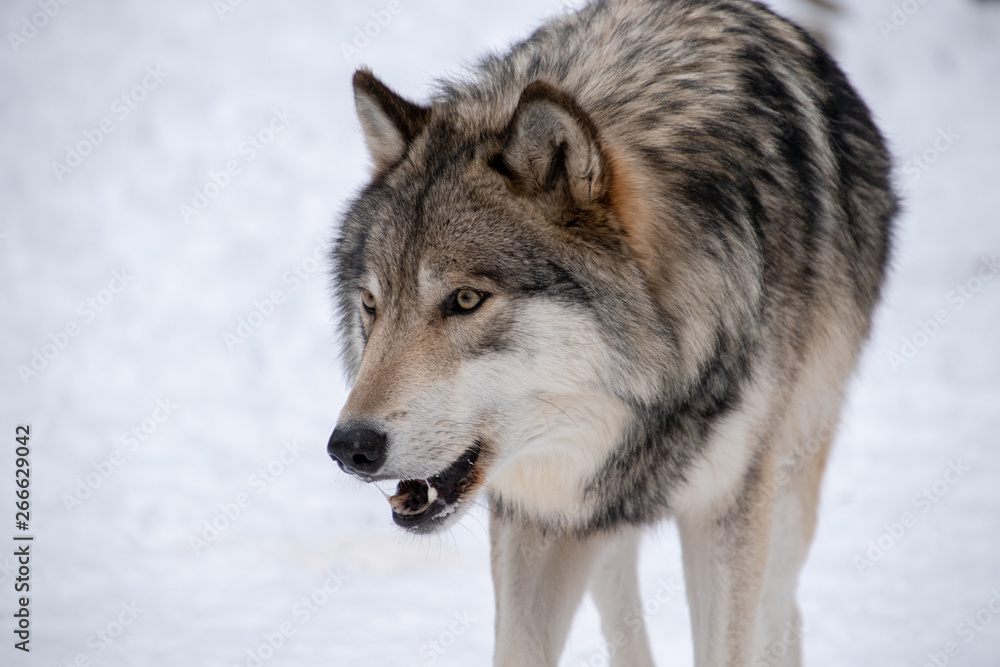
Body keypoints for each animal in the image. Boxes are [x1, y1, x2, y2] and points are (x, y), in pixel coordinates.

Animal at [324, 2, 896, 664]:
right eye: (371, 305)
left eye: (466, 300)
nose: (349, 448)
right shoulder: (539, 512)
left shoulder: (730, 508)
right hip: (590, 520)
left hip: (788, 484)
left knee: (782, 608)